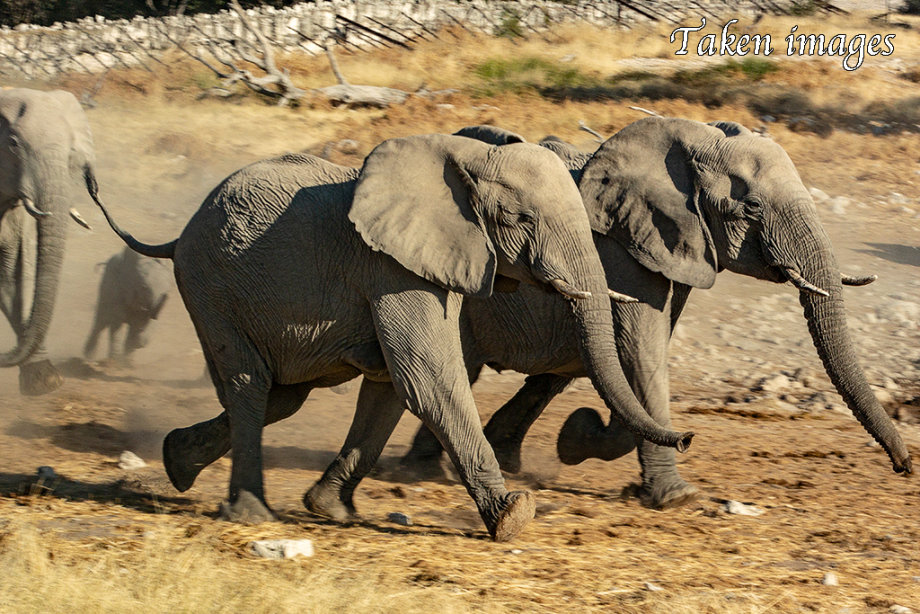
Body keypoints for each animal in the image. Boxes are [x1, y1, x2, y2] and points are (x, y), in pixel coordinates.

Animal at [90, 136, 692, 544]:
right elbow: (427, 379)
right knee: (250, 386)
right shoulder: (392, 269)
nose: (686, 437)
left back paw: (176, 462)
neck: (463, 157)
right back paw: (251, 513)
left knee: (282, 396)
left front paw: (331, 511)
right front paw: (515, 516)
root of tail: (176, 236)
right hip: (210, 288)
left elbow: (390, 387)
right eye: (518, 217)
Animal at [314, 119, 912, 516]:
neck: (684, 145)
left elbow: (625, 361)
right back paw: (424, 471)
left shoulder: (673, 250)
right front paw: (672, 495)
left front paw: (573, 444)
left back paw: (452, 465)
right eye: (752, 208)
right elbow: (641, 356)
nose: (906, 467)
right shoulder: (624, 254)